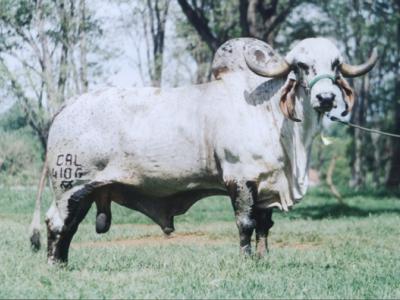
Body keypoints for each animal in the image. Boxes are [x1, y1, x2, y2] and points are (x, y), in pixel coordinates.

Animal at [29, 37, 376, 262]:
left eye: (335, 65)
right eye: (302, 65)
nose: (326, 98)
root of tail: (68, 105)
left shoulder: (265, 186)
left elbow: (265, 226)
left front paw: (264, 259)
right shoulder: (240, 179)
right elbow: (246, 224)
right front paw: (246, 262)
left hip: (87, 190)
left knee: (69, 226)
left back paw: (62, 263)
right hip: (70, 186)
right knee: (57, 223)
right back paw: (54, 265)